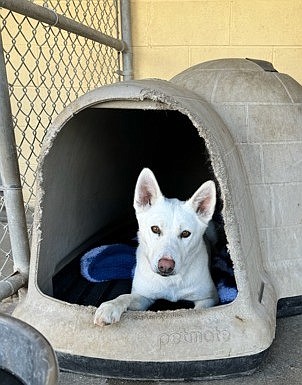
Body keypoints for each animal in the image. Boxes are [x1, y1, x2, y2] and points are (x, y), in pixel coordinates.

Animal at [93, 167, 218, 324]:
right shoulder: (143, 298)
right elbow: (125, 297)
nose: (165, 266)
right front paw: (110, 306)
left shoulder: (209, 298)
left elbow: (198, 311)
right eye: (155, 229)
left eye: (185, 233)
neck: (170, 282)